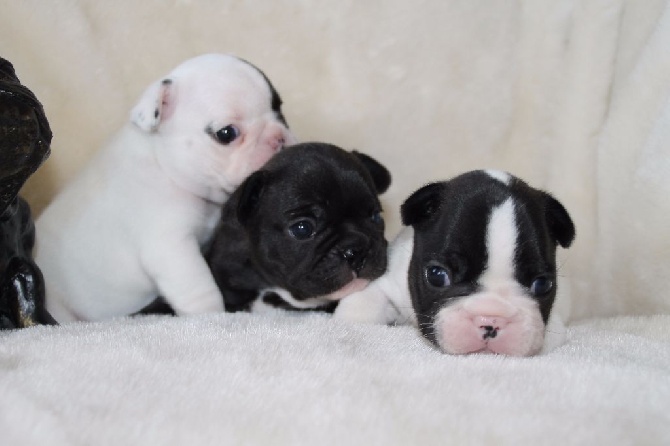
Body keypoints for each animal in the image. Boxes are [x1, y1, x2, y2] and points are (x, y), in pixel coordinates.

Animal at [35, 54, 296, 322]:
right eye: (226, 133)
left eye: (279, 109)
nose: (278, 138)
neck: (166, 165)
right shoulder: (171, 246)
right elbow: (201, 288)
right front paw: (210, 316)